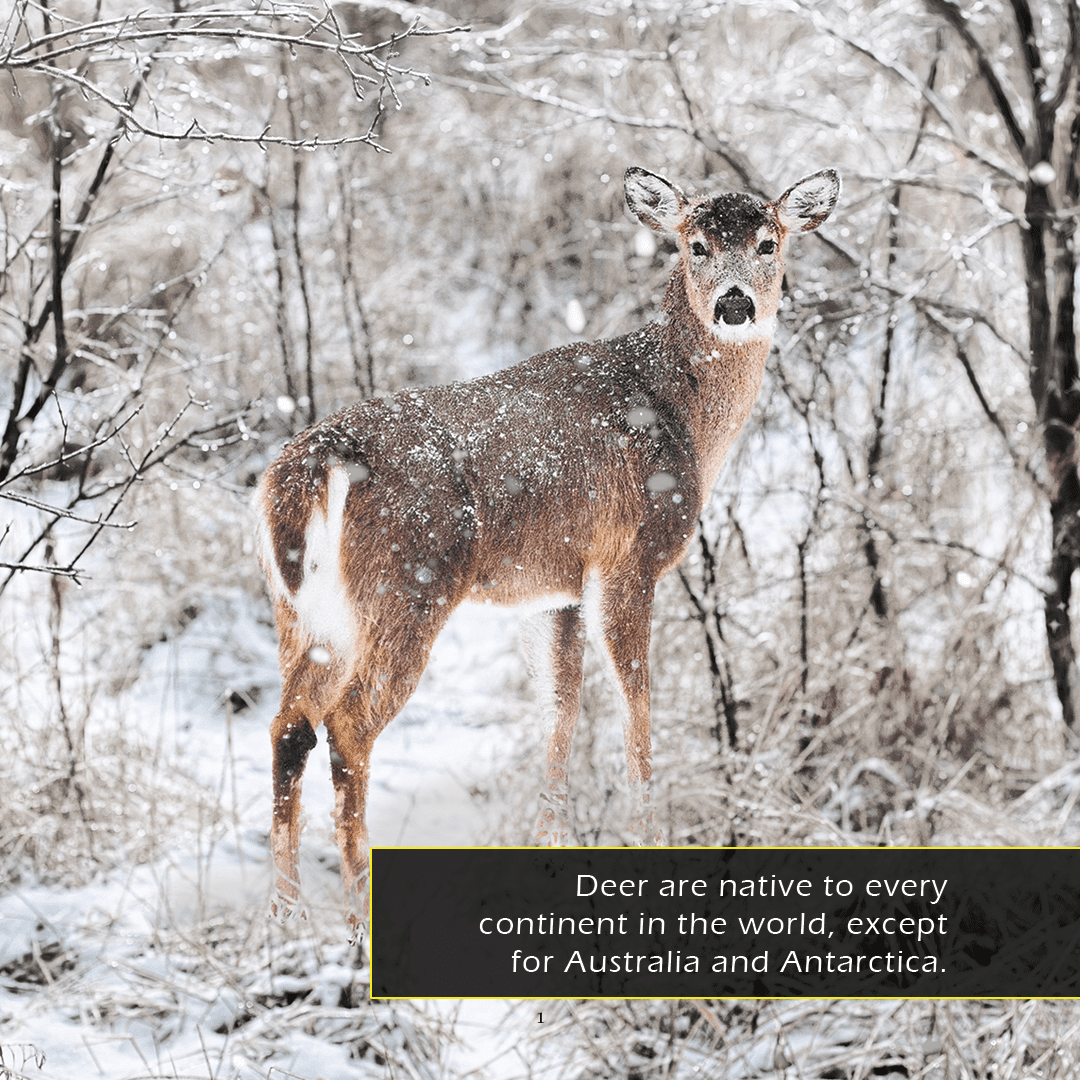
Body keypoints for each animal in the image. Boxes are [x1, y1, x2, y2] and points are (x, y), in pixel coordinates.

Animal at [255, 165, 840, 937]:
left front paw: (549, 852)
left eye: (768, 242)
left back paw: (285, 918)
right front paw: (649, 840)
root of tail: (310, 468)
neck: (682, 413)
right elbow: (635, 710)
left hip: (304, 610)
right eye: (697, 244)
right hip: (408, 586)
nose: (736, 304)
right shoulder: (628, 559)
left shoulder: (556, 587)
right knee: (347, 726)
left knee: (290, 724)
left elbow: (560, 714)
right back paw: (357, 915)